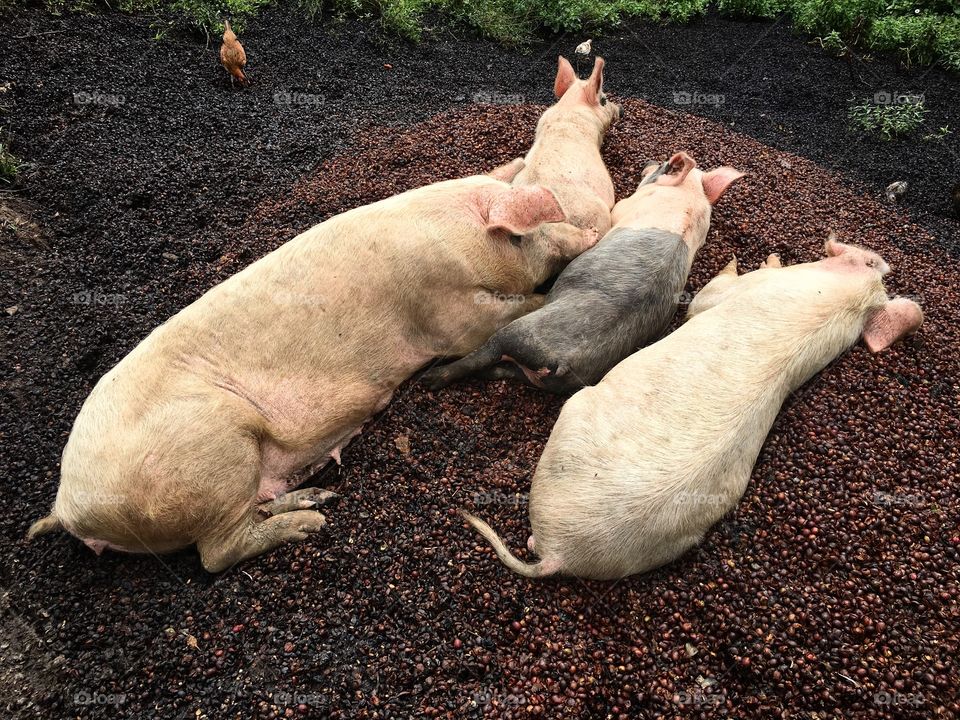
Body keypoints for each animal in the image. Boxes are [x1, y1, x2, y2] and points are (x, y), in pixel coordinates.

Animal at [27, 160, 598, 572]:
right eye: (531, 231)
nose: (590, 234)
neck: (456, 239)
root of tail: (69, 506)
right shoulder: (447, 311)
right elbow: (505, 314)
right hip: (212, 449)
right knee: (216, 555)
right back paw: (311, 525)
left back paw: (319, 495)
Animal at [421, 152, 744, 394]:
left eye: (664, 165)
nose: (649, 160)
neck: (688, 202)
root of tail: (562, 361)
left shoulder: (622, 208)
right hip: (555, 379)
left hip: (517, 334)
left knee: (481, 356)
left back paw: (430, 380)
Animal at [461, 240, 923, 580]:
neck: (849, 300)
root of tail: (561, 552)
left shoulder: (744, 290)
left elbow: (706, 299)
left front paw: (749, 260)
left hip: (574, 413)